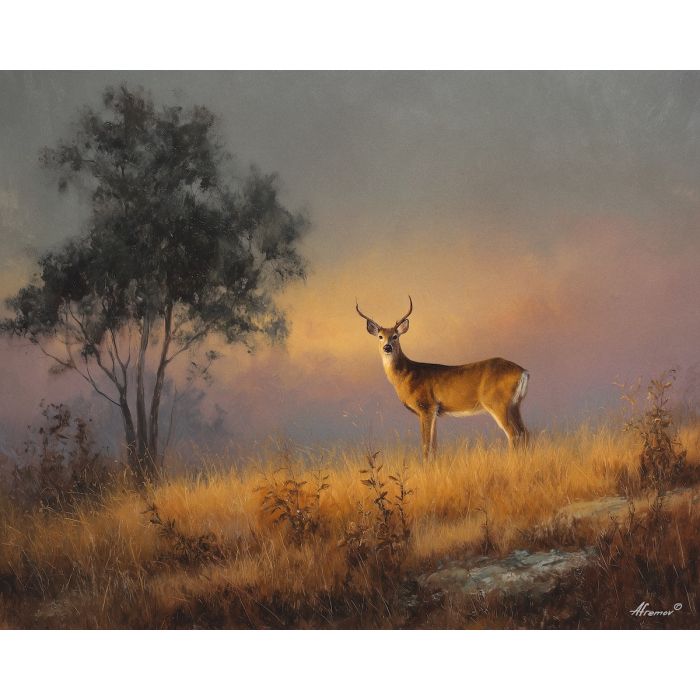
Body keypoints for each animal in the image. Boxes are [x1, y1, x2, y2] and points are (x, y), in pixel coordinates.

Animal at [355, 297, 529, 460]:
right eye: (380, 336)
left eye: (395, 336)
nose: (387, 347)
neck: (408, 374)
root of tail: (524, 372)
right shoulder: (435, 411)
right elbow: (434, 446)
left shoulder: (426, 406)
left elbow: (426, 446)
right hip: (515, 404)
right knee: (524, 432)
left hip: (497, 402)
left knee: (514, 434)